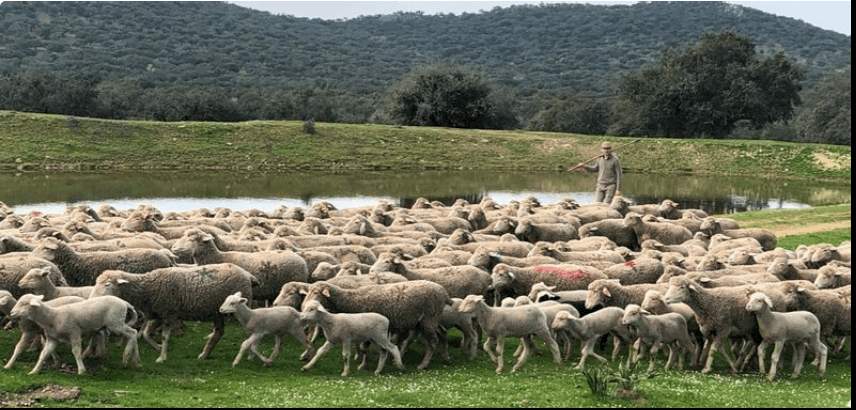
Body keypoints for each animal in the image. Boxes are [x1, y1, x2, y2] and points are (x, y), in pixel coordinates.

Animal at [9, 294, 140, 375]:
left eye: (24, 303)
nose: (12, 313)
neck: (53, 317)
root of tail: (124, 302)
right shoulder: (52, 339)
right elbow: (44, 354)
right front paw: (34, 371)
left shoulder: (74, 332)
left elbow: (76, 351)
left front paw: (81, 370)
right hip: (112, 324)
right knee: (133, 334)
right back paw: (137, 361)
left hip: (115, 323)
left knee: (133, 333)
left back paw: (126, 356)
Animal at [90, 264, 257, 363]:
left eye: (107, 284)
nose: (92, 298)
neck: (147, 288)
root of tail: (248, 275)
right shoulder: (158, 315)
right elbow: (146, 334)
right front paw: (160, 348)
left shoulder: (168, 313)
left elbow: (164, 336)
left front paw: (162, 356)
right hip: (217, 313)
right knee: (218, 333)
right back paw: (204, 354)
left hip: (241, 307)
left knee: (248, 331)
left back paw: (249, 356)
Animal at [301, 280, 451, 371]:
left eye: (316, 293)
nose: (303, 306)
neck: (351, 300)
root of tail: (443, 292)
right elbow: (362, 347)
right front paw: (364, 362)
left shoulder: (368, 328)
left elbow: (364, 347)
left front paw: (365, 362)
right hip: (427, 321)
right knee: (441, 335)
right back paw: (445, 357)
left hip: (429, 320)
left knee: (432, 343)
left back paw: (423, 364)